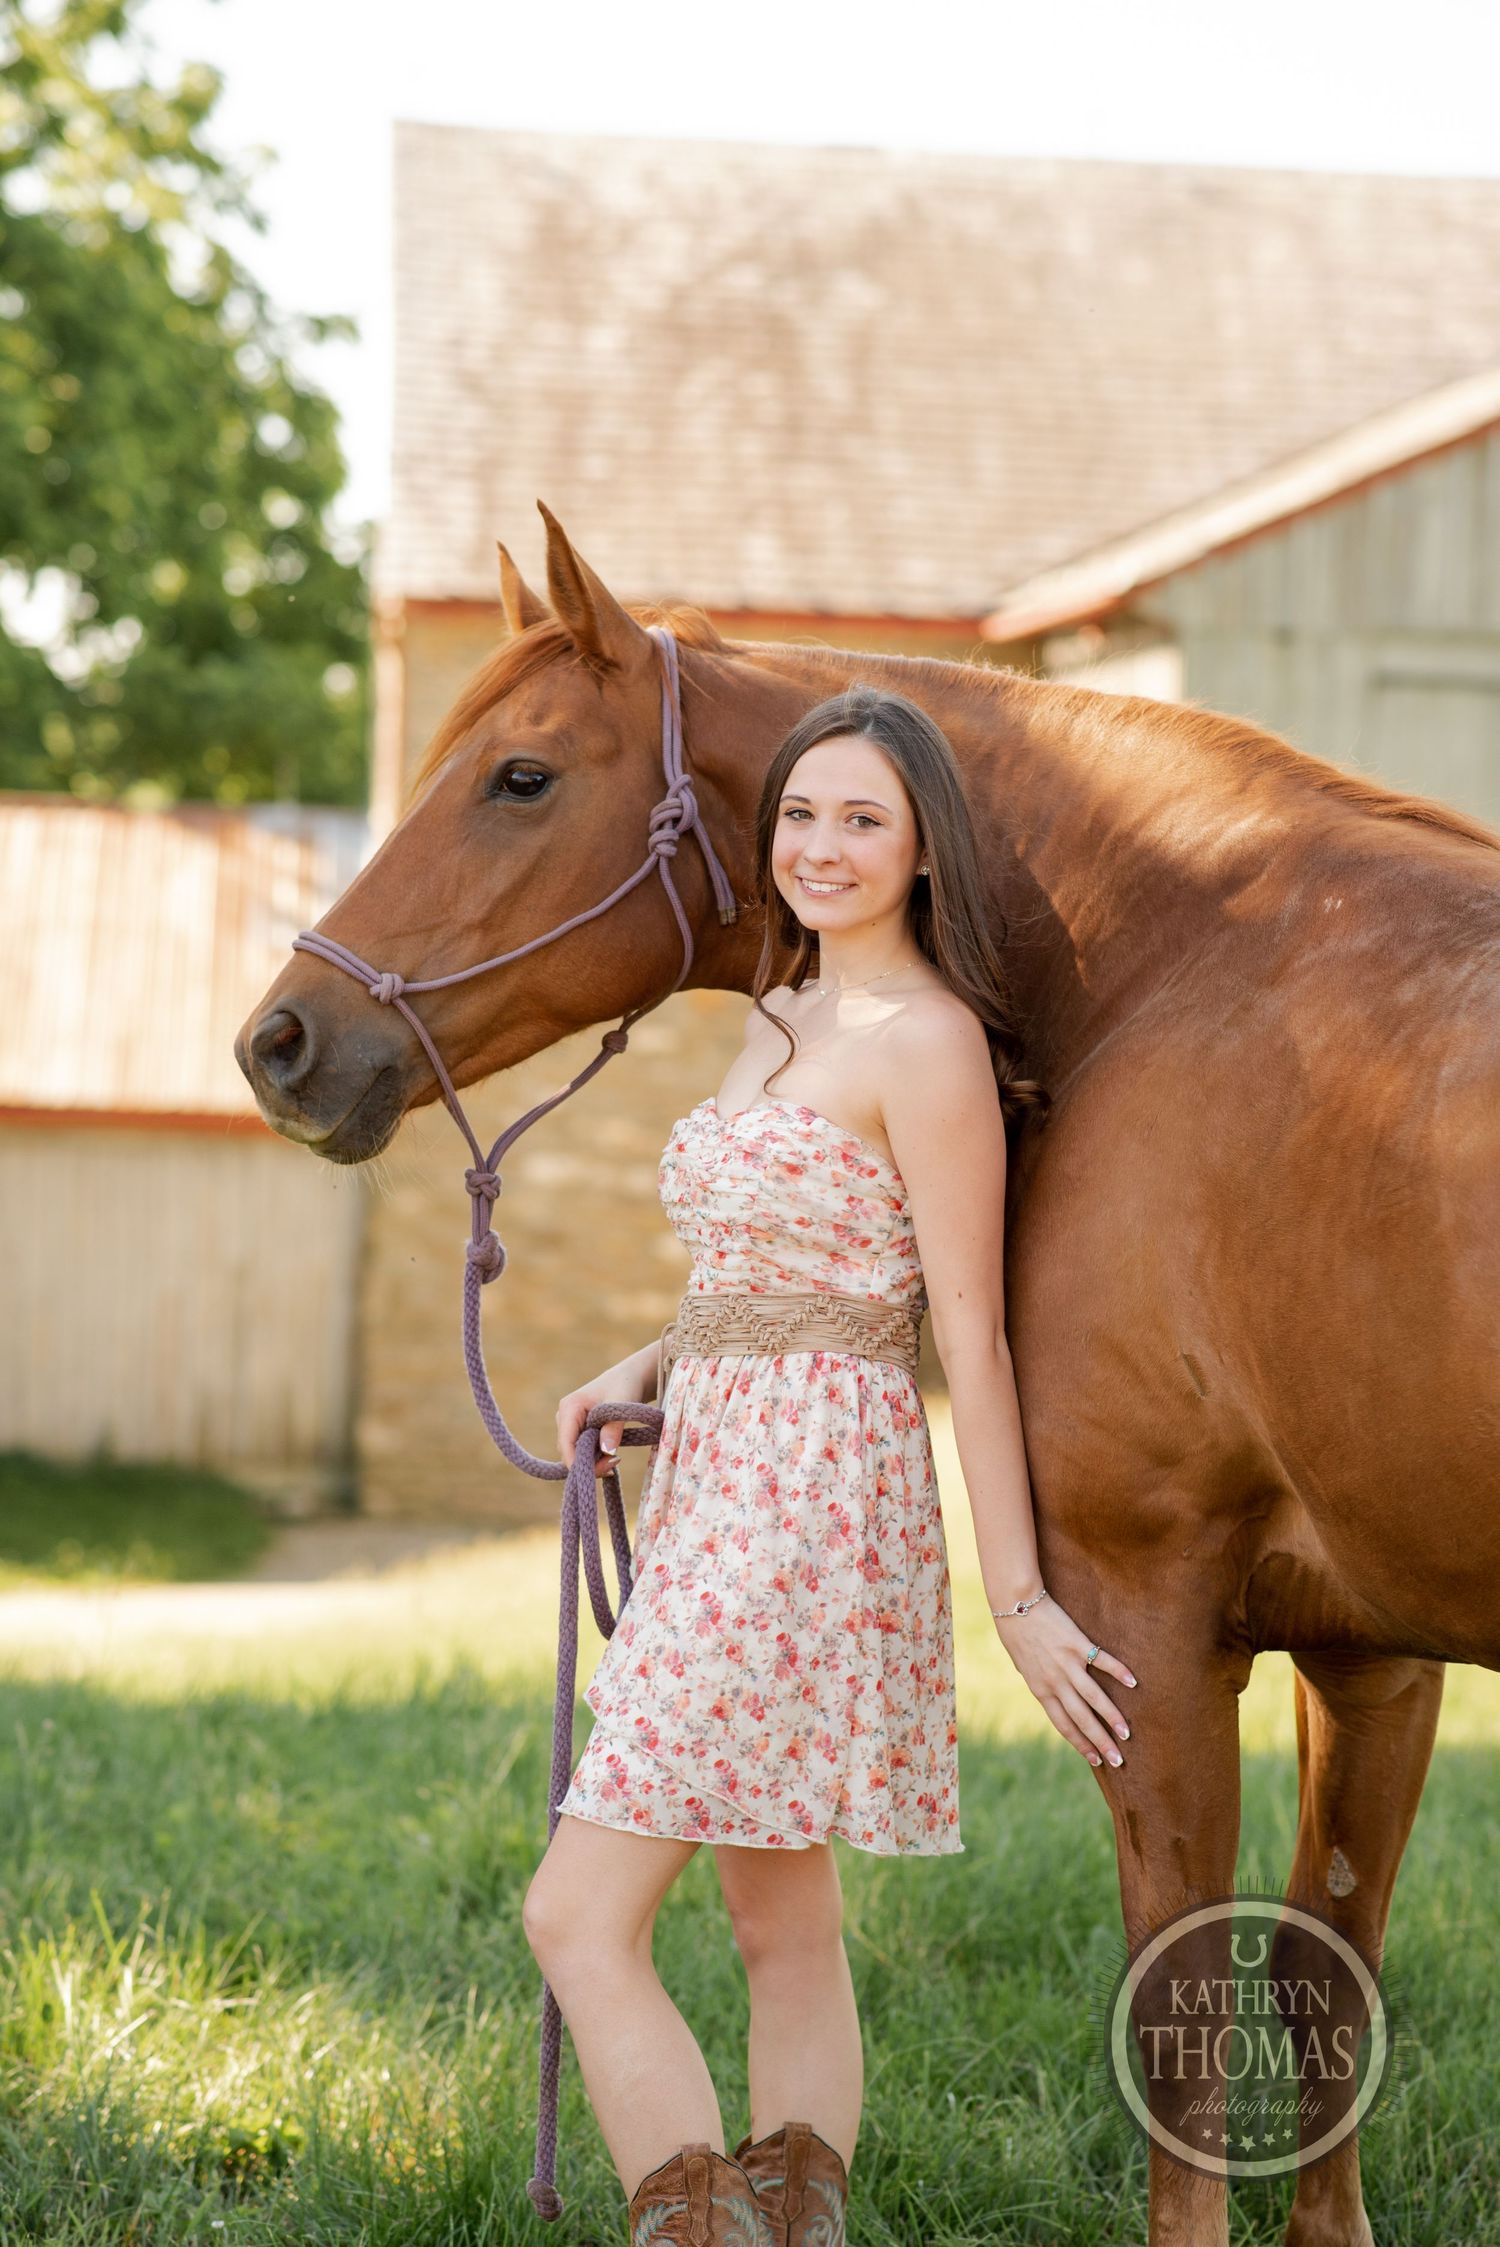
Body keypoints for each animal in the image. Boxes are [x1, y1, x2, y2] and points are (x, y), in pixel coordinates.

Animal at [236, 503, 1500, 2247]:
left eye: (521, 775)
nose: (281, 1041)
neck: (1173, 973)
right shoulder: (1371, 1653)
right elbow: (1325, 1989)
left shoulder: (1153, 1627)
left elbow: (1179, 2046)